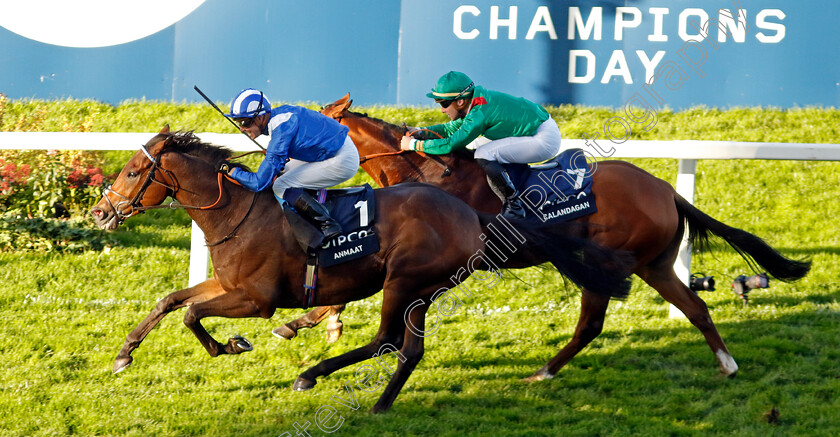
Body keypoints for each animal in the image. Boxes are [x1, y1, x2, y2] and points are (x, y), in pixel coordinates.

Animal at [92, 124, 632, 410]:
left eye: (134, 172)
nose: (100, 212)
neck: (239, 211)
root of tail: (472, 215)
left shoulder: (257, 299)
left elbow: (191, 315)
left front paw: (230, 344)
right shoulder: (227, 283)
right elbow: (170, 301)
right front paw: (124, 355)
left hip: (404, 281)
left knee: (388, 340)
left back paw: (312, 374)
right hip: (423, 291)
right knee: (408, 350)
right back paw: (381, 402)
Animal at [276, 93, 808, 380]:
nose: (275, 166)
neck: (429, 174)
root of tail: (665, 190)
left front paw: (307, 323)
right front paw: (309, 322)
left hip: (611, 264)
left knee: (592, 323)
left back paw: (544, 371)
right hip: (653, 264)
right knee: (693, 307)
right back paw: (727, 364)